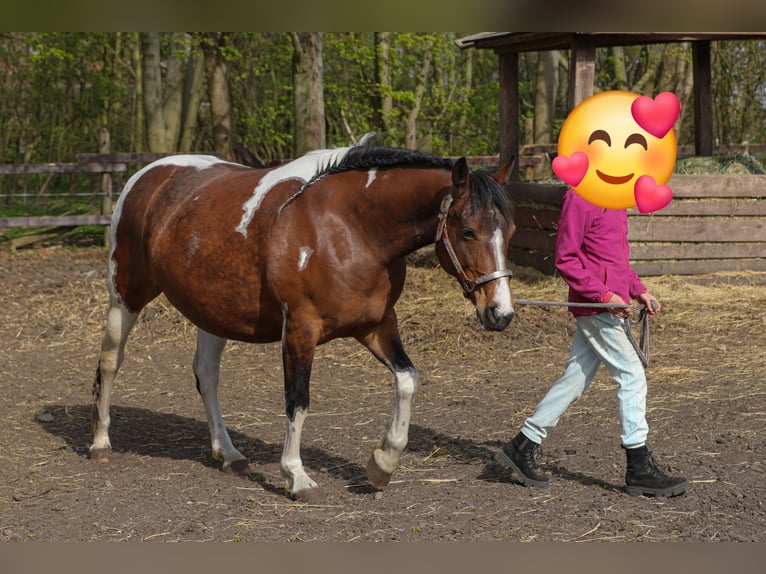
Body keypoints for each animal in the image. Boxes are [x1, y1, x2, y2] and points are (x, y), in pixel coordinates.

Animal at [90, 143, 516, 502]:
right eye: (468, 230)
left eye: (510, 230)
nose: (500, 313)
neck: (350, 228)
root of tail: (146, 175)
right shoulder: (299, 329)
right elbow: (298, 401)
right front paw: (296, 476)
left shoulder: (376, 325)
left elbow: (408, 380)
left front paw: (382, 464)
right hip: (125, 296)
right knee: (110, 362)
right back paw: (100, 443)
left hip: (210, 311)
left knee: (206, 375)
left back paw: (228, 453)